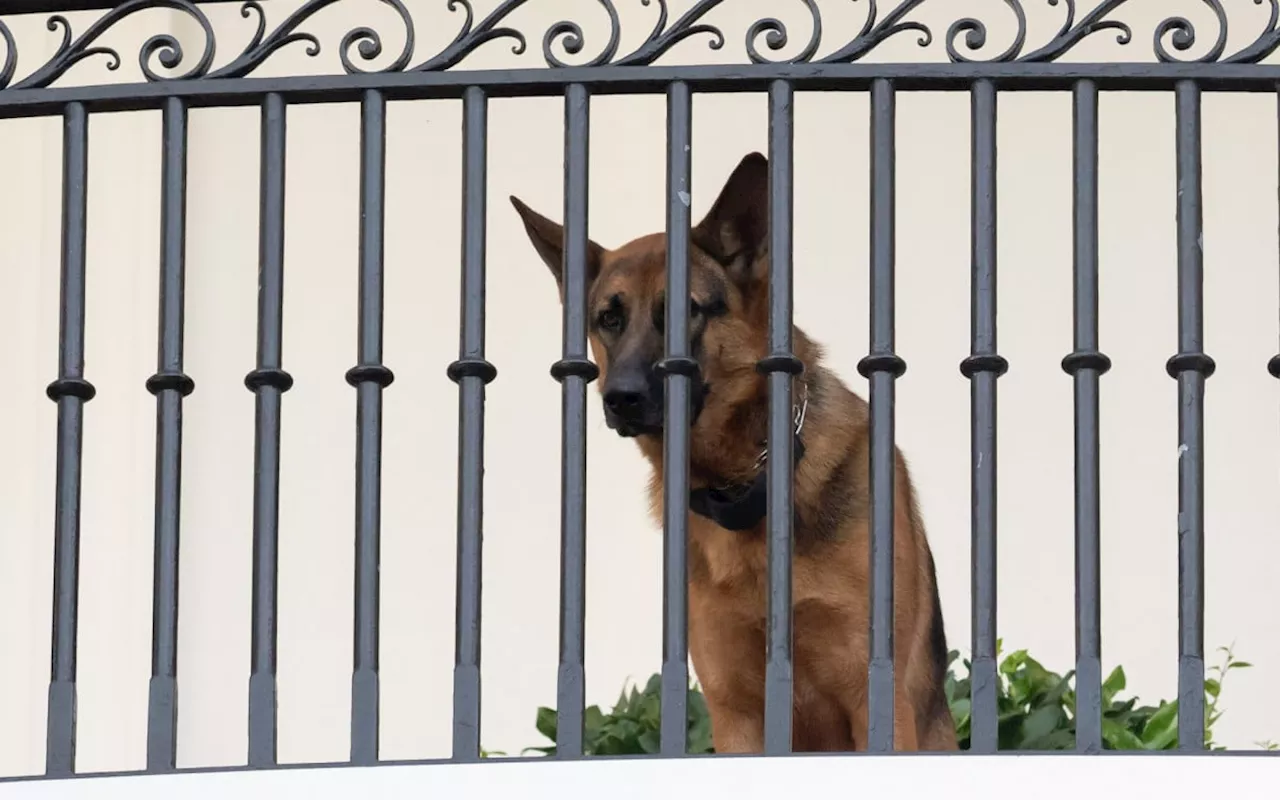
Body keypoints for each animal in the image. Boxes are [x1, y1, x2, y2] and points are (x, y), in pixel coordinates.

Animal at [512, 151, 962, 752]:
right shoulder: (736, 715)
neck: (745, 483)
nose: (620, 399)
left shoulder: (875, 701)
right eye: (609, 318)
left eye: (686, 312)